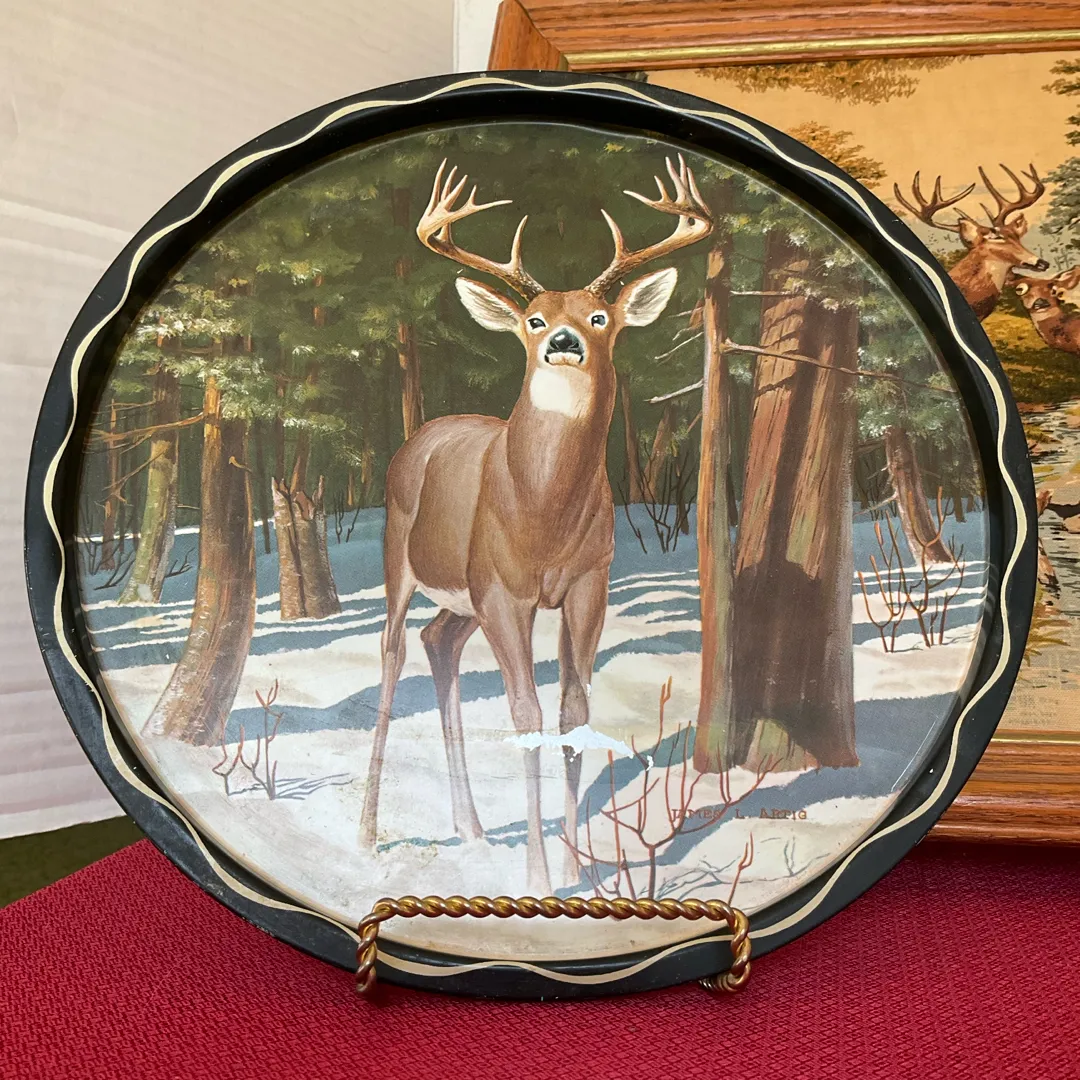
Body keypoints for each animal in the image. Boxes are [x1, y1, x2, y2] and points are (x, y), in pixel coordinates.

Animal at [358, 156, 713, 895]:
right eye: (533, 317)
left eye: (600, 315)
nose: (563, 341)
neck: (541, 515)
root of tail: (419, 436)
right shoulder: (505, 590)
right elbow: (525, 714)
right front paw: (540, 878)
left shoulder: (587, 582)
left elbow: (574, 711)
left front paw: (579, 865)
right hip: (403, 555)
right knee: (394, 649)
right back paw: (368, 832)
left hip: (465, 597)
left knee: (439, 641)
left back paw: (470, 826)